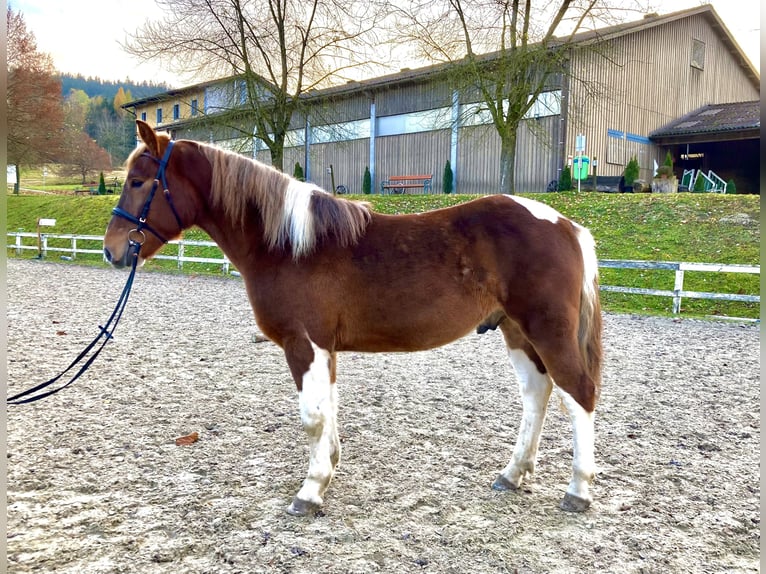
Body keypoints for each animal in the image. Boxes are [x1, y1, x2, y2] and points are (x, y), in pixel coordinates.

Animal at [103, 120, 608, 516]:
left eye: (138, 181)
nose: (112, 250)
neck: (289, 244)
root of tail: (568, 226)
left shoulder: (303, 343)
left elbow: (311, 417)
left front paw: (310, 492)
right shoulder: (324, 348)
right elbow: (329, 409)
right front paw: (329, 467)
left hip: (546, 330)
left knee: (578, 394)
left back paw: (578, 490)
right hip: (517, 332)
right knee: (538, 394)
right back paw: (513, 473)